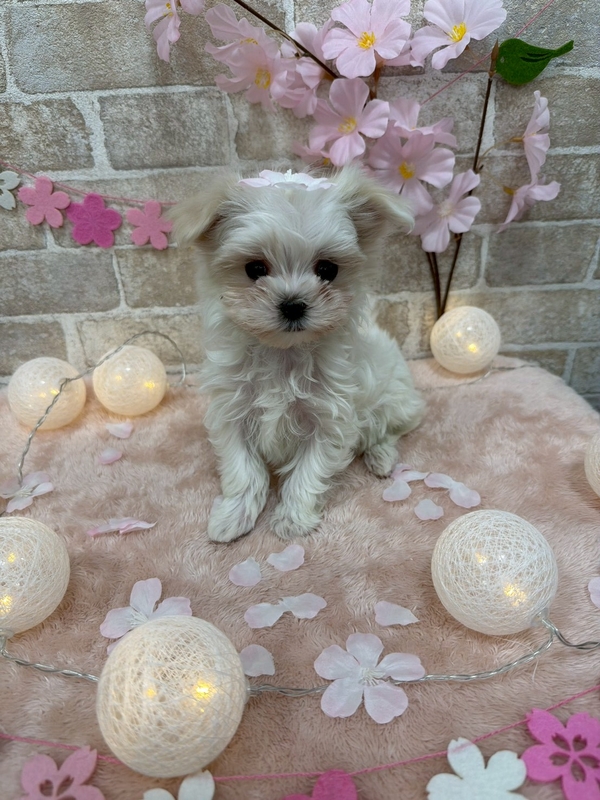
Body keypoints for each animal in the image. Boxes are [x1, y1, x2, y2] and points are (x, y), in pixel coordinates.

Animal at [171, 167, 424, 542]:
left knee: (388, 430)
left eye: (328, 269)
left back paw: (381, 458)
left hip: (396, 401)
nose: (292, 305)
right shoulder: (232, 412)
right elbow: (243, 469)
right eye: (254, 269)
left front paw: (292, 520)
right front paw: (232, 518)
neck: (283, 352)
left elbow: (309, 472)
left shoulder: (329, 420)